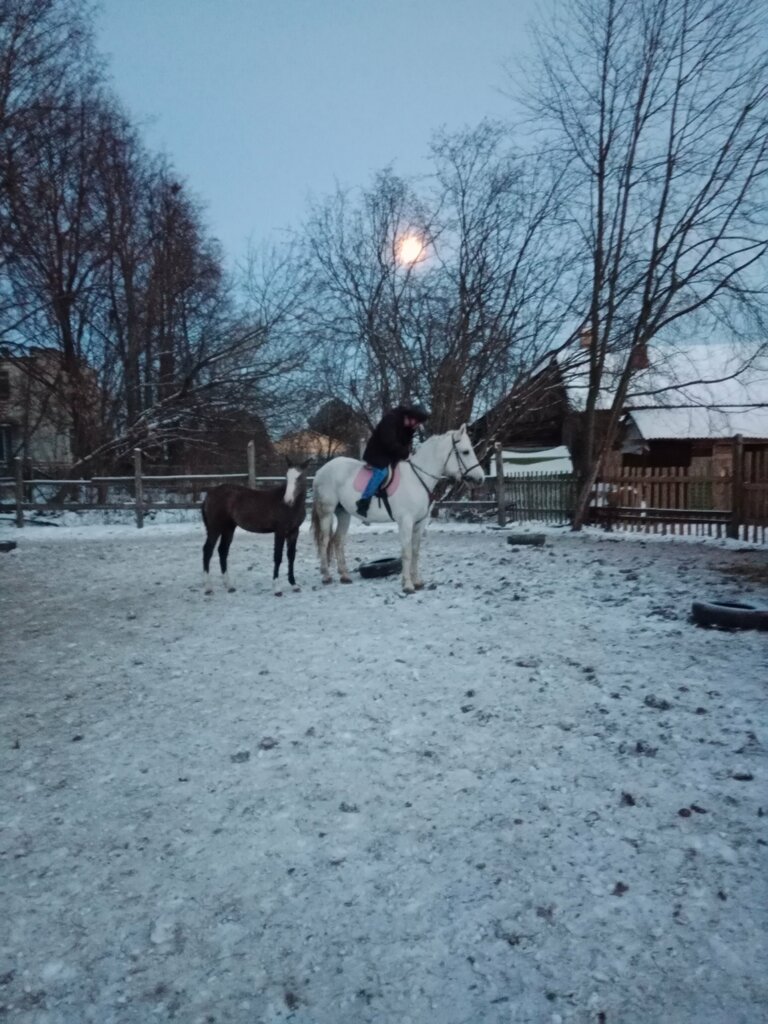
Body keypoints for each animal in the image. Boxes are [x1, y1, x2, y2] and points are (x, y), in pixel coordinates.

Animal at [309, 425, 483, 593]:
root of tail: (321, 470)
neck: (418, 479)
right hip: (327, 512)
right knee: (324, 541)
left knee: (338, 540)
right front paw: (408, 585)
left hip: (343, 513)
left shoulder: (420, 523)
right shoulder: (406, 521)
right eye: (466, 452)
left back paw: (344, 575)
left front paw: (417, 581)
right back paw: (326, 576)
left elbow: (415, 552)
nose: (480, 478)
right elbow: (406, 552)